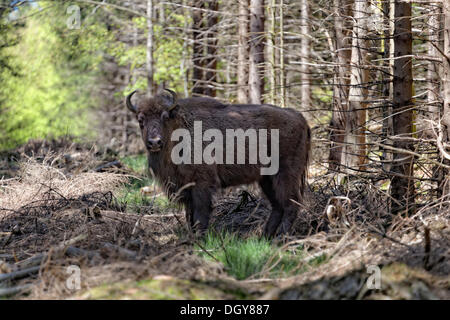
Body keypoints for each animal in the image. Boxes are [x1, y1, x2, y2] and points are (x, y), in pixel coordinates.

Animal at [125, 89, 312, 236]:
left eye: (164, 117)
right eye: (140, 120)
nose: (154, 142)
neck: (178, 128)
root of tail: (300, 117)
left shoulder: (202, 184)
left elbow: (200, 214)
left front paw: (200, 238)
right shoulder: (185, 188)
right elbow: (189, 215)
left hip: (285, 174)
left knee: (291, 203)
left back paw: (281, 237)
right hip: (266, 179)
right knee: (278, 206)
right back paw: (265, 237)